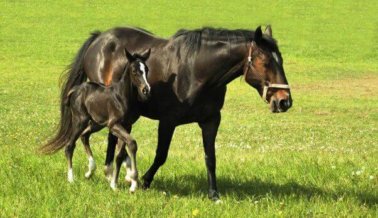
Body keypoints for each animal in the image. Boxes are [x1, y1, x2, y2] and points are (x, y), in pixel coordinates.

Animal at [41, 48, 152, 192]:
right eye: (134, 71)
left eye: (146, 69)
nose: (146, 89)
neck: (122, 97)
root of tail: (75, 89)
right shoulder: (114, 125)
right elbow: (132, 143)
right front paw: (132, 181)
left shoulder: (127, 126)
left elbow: (120, 155)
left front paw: (115, 184)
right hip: (80, 120)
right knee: (70, 145)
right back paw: (71, 178)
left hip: (96, 123)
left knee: (84, 136)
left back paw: (89, 172)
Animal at [60, 25, 294, 201]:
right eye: (266, 62)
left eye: (281, 60)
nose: (284, 101)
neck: (197, 71)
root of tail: (99, 38)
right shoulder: (168, 121)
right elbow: (161, 155)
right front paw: (144, 181)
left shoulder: (211, 121)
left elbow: (211, 157)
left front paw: (214, 194)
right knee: (110, 137)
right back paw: (111, 173)